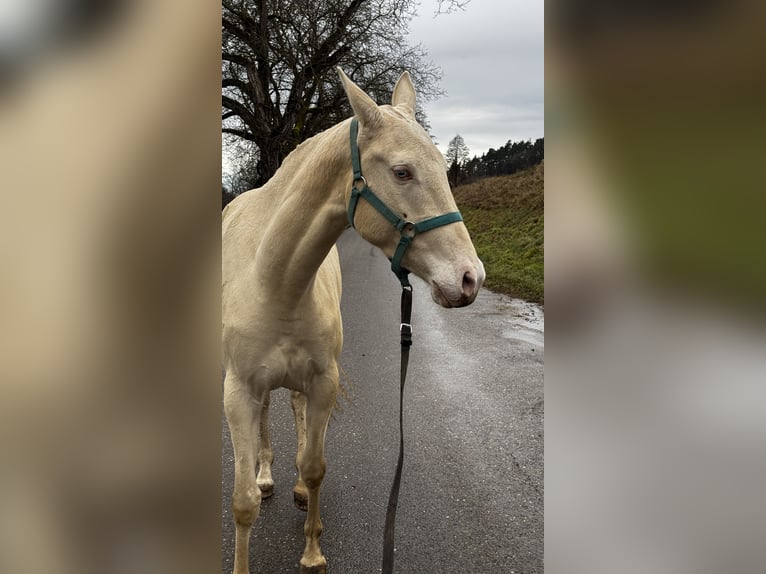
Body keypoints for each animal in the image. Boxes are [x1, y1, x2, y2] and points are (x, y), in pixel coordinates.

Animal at [222, 68, 486, 574]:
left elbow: (314, 466)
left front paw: (312, 552)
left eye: (445, 170)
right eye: (402, 172)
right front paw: (258, 491)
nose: (470, 279)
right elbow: (243, 502)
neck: (274, 280)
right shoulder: (238, 392)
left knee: (296, 411)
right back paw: (266, 475)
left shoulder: (323, 381)